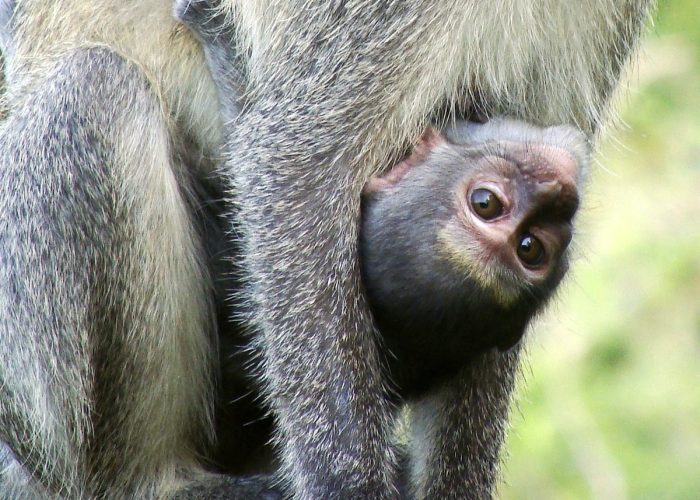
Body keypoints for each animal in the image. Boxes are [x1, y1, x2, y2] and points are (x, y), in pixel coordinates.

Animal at [1, 0, 652, 500]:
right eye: (487, 203)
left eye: (534, 245)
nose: (553, 189)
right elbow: (296, 170)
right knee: (96, 89)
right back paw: (145, 483)